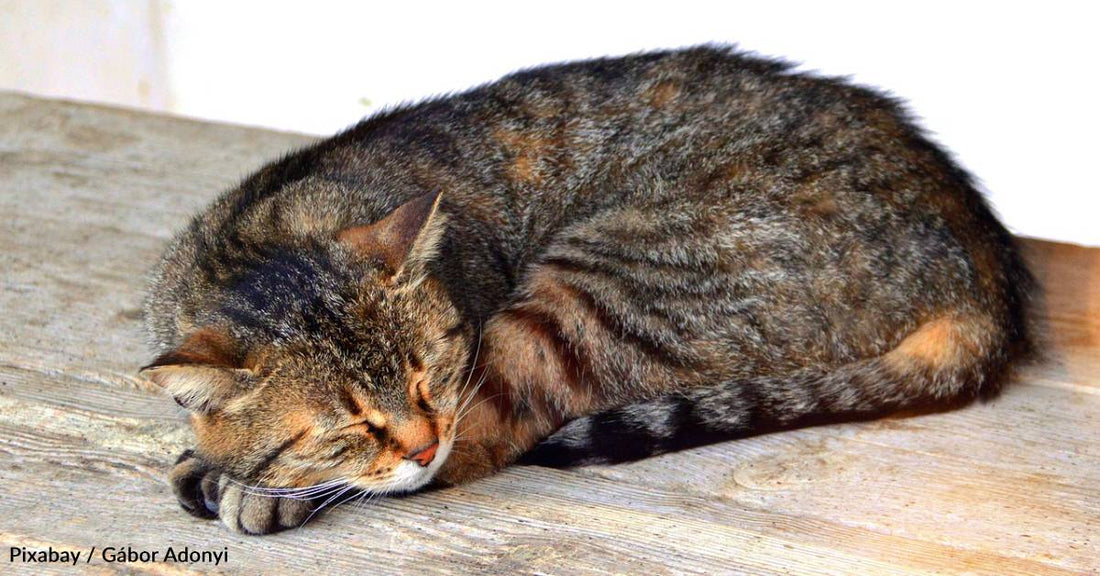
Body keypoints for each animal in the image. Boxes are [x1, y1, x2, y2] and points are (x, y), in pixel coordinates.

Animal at [141, 46, 1034, 536]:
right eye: (345, 424)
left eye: (430, 377)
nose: (420, 441)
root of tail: (979, 254)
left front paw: (251, 484)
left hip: (598, 287)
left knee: (496, 432)